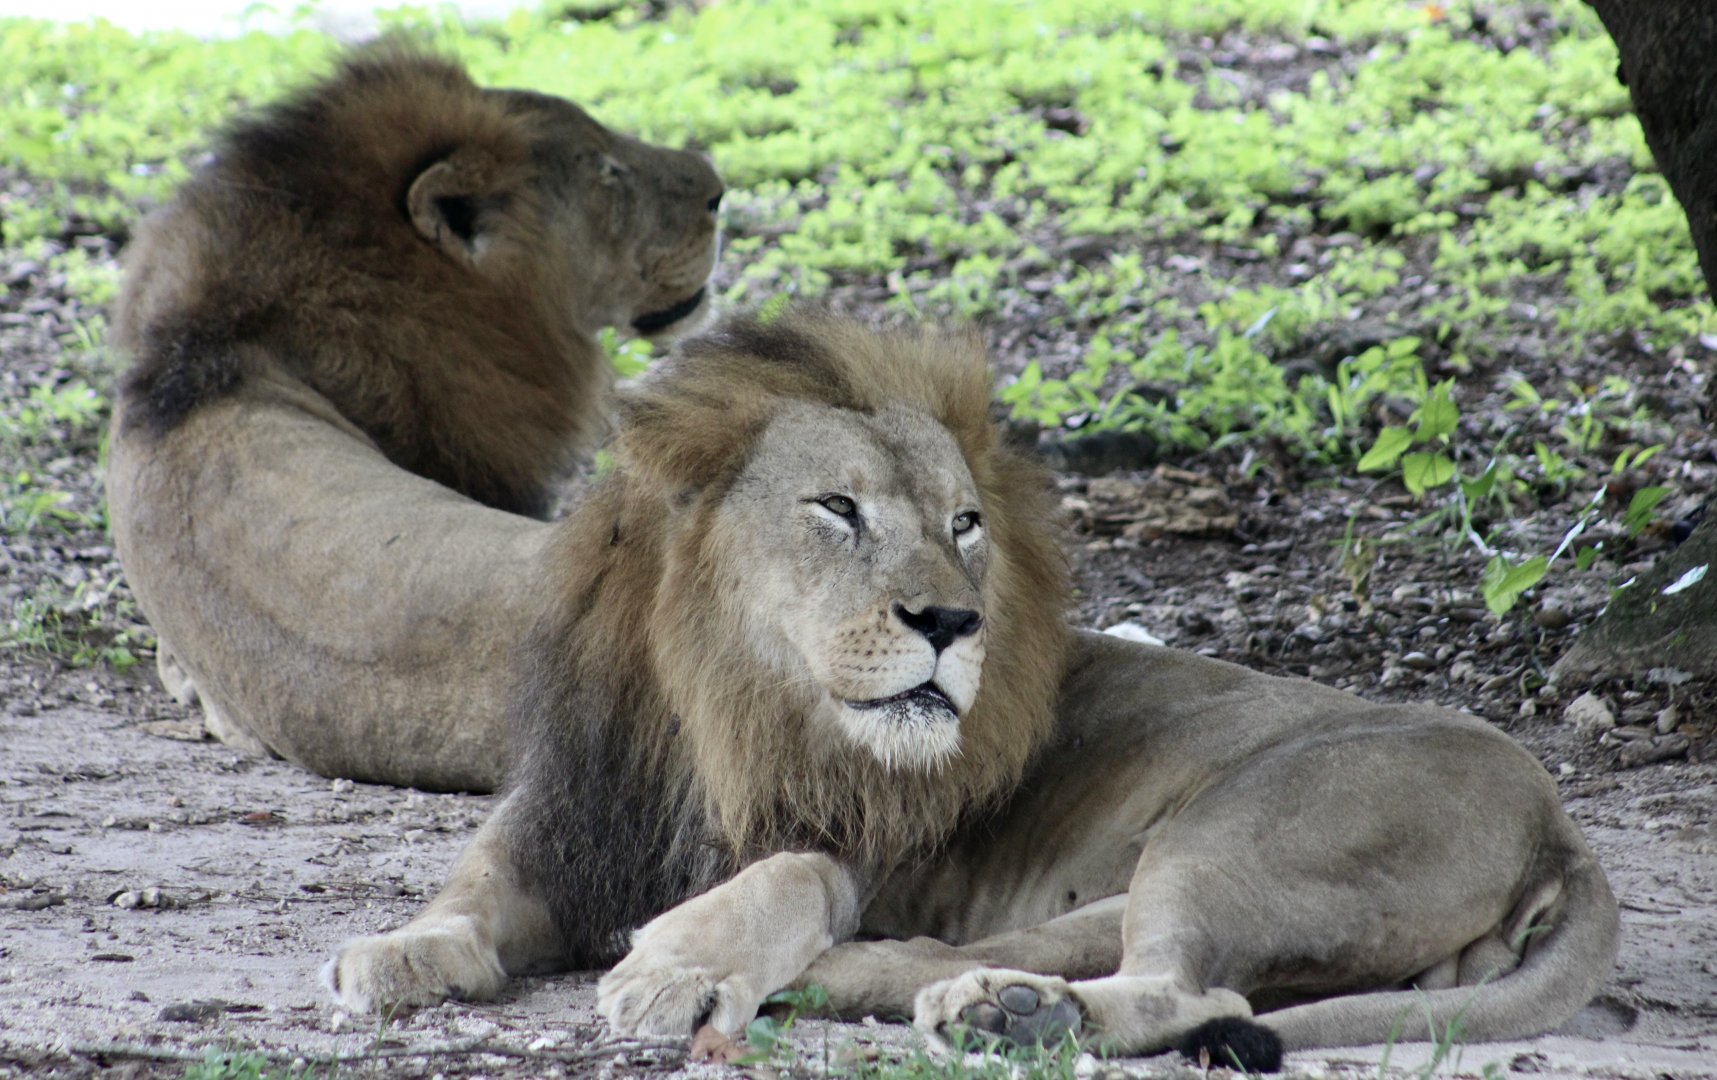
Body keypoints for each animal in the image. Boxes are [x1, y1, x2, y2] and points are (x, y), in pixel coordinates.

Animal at [325, 311, 1618, 1071]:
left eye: (964, 525)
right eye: (838, 509)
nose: (953, 622)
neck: (721, 706)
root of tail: (1560, 822)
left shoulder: (859, 840)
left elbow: (785, 877)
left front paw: (680, 969)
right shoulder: (573, 814)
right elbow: (470, 884)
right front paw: (398, 952)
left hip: (1241, 827)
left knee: (1176, 987)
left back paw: (992, 1011)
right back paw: (951, 995)